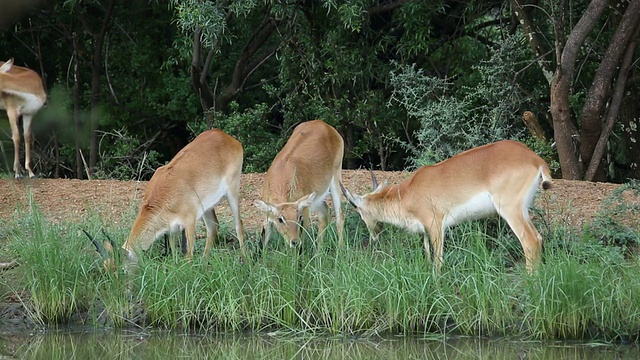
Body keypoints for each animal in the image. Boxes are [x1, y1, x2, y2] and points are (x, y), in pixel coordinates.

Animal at [86, 129, 244, 270]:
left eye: (122, 269)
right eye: (106, 270)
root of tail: (227, 137)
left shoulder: (189, 221)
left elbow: (188, 256)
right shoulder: (172, 229)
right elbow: (174, 255)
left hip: (233, 190)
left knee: (238, 226)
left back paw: (245, 262)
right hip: (208, 206)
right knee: (213, 228)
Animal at [255, 120, 344, 250]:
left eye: (298, 217)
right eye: (280, 219)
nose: (294, 241)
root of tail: (322, 123)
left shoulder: (305, 213)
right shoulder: (267, 215)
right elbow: (262, 243)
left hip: (336, 179)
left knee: (339, 217)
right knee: (325, 211)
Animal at [340, 141, 556, 272]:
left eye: (358, 211)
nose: (374, 236)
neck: (409, 193)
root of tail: (535, 159)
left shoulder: (436, 226)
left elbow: (438, 260)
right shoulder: (425, 232)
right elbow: (428, 254)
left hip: (510, 210)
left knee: (529, 241)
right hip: (523, 210)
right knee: (538, 238)